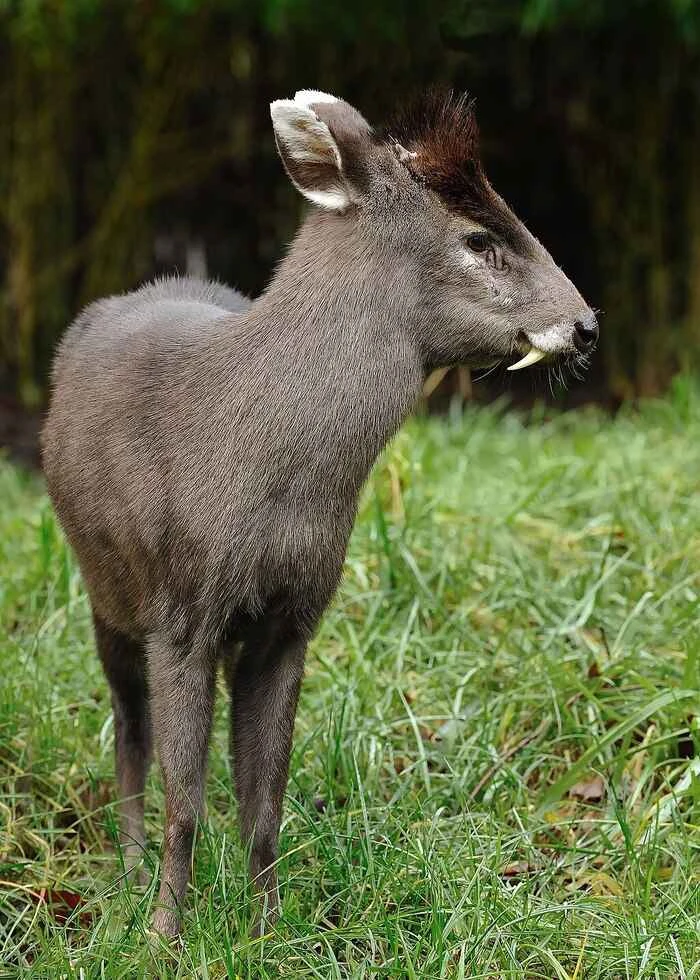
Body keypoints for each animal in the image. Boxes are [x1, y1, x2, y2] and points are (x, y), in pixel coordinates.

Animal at [41, 89, 598, 937]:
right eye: (479, 238)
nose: (586, 324)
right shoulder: (180, 610)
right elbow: (185, 804)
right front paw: (165, 936)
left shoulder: (293, 618)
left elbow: (263, 803)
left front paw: (271, 932)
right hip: (104, 584)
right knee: (128, 723)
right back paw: (129, 873)